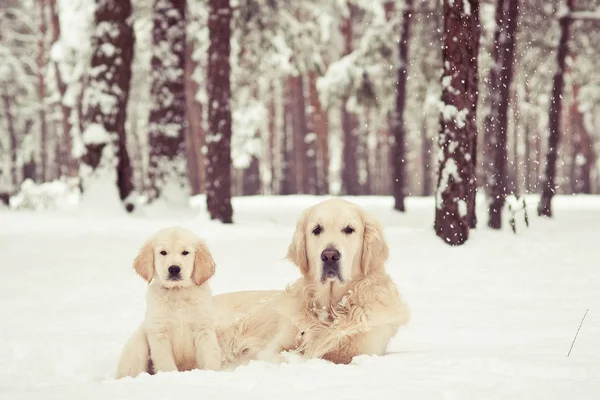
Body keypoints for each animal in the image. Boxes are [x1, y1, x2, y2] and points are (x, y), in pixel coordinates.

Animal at [116, 225, 221, 378]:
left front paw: (211, 373)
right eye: (163, 252)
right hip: (137, 344)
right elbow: (165, 361)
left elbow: (210, 355)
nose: (174, 269)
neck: (177, 292)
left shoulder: (203, 328)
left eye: (185, 252)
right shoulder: (159, 331)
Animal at [217, 198, 412, 368]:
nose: (330, 256)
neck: (332, 308)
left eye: (349, 229)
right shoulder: (272, 349)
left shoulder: (361, 351)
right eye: (317, 229)